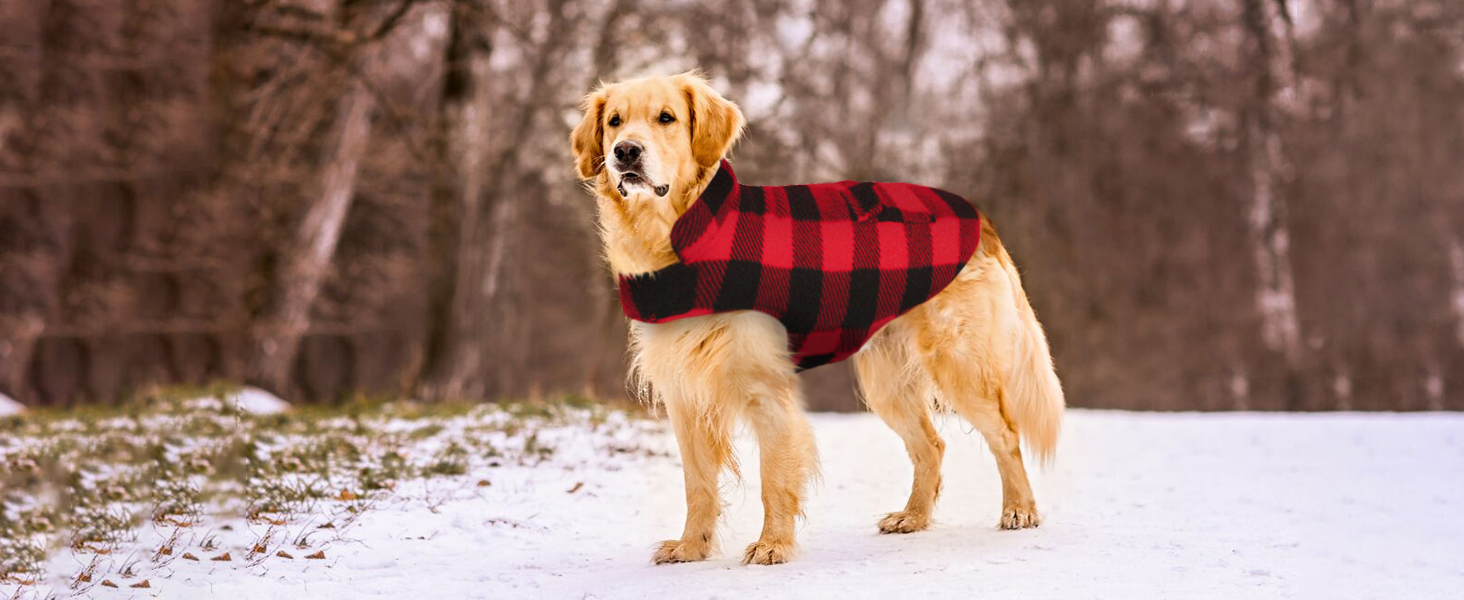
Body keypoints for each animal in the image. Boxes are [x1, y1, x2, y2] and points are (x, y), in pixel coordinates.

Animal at [568, 72, 1065, 564]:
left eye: (666, 118)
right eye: (615, 122)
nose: (625, 152)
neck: (684, 236)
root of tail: (977, 215)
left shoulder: (765, 385)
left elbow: (774, 476)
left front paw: (772, 544)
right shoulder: (684, 391)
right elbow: (698, 483)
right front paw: (692, 546)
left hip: (958, 361)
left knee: (1006, 433)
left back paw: (1020, 509)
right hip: (886, 381)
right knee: (932, 444)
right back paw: (913, 516)